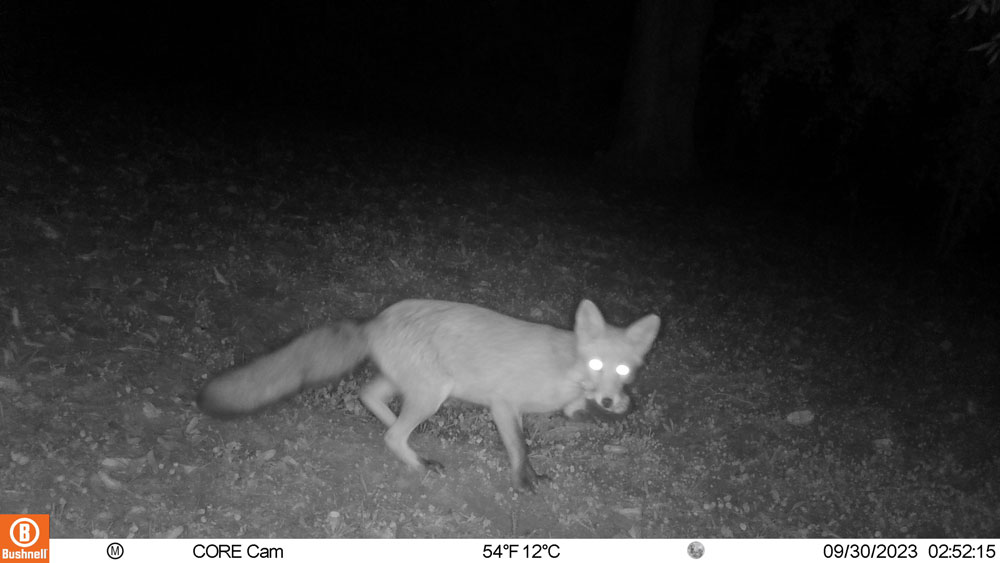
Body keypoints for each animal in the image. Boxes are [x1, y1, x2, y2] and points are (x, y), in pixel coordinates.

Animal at [198, 298, 660, 492]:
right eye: (596, 364)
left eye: (622, 370)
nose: (610, 401)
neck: (564, 366)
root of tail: (376, 320)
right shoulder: (504, 404)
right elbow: (520, 448)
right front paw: (524, 481)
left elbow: (573, 413)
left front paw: (602, 412)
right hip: (433, 392)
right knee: (391, 437)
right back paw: (418, 462)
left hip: (410, 386)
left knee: (370, 397)